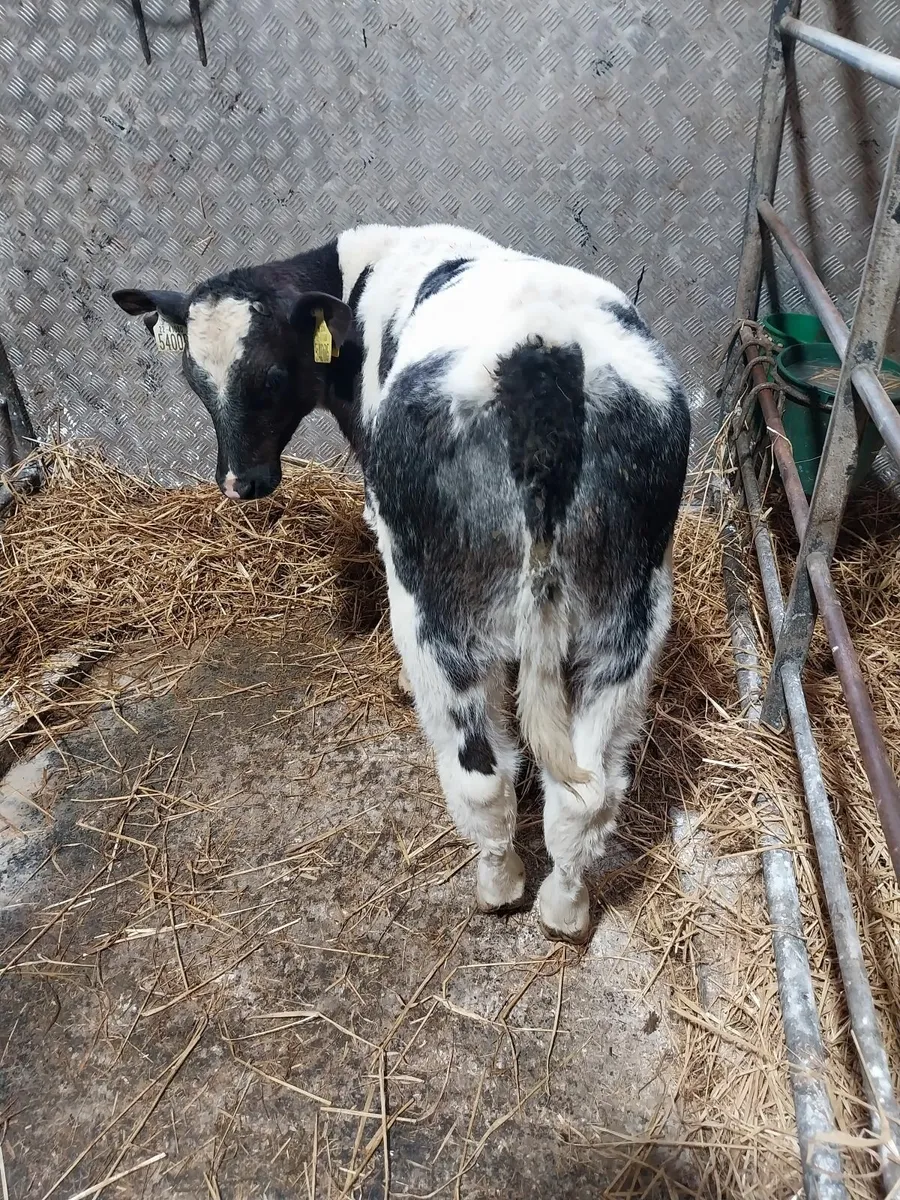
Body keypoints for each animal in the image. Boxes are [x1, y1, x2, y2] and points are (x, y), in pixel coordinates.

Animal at [113, 223, 690, 944]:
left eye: (272, 376)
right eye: (195, 378)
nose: (240, 482)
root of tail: (544, 355)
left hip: (437, 613)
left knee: (482, 777)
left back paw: (498, 887)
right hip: (628, 618)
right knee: (587, 792)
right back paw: (564, 909)